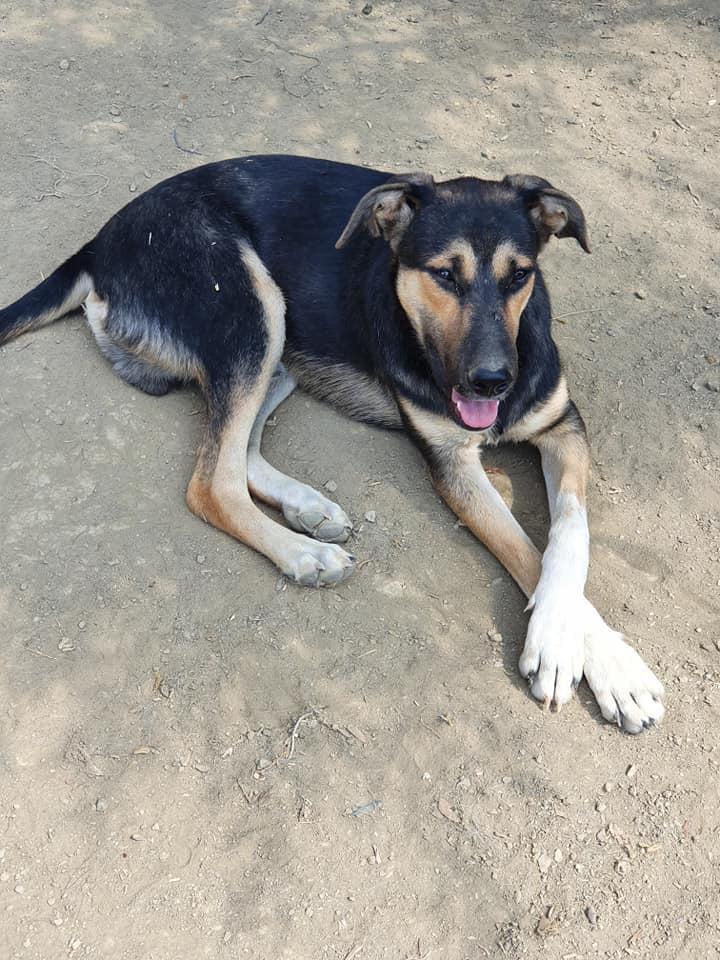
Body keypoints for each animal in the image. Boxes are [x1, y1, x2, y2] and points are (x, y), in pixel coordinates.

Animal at [0, 154, 665, 732]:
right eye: (443, 274)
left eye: (520, 275)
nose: (492, 381)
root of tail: (100, 240)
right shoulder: (451, 461)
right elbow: (525, 546)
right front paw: (576, 651)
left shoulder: (564, 427)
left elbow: (569, 535)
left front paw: (599, 654)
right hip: (248, 304)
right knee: (211, 482)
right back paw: (305, 554)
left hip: (285, 344)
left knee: (238, 451)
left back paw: (309, 509)